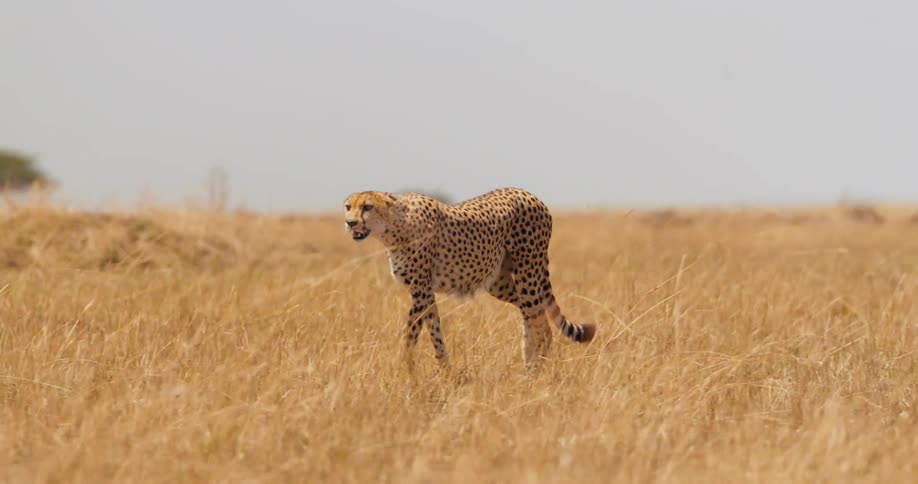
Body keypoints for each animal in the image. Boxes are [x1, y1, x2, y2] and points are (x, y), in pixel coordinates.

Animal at [343, 187, 596, 372]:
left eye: (367, 207)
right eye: (348, 207)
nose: (350, 222)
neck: (395, 225)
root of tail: (528, 193)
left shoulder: (420, 290)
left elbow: (411, 333)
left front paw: (405, 369)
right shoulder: (426, 293)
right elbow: (435, 332)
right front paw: (446, 371)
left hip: (528, 272)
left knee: (538, 320)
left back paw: (534, 371)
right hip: (499, 283)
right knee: (535, 315)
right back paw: (530, 362)